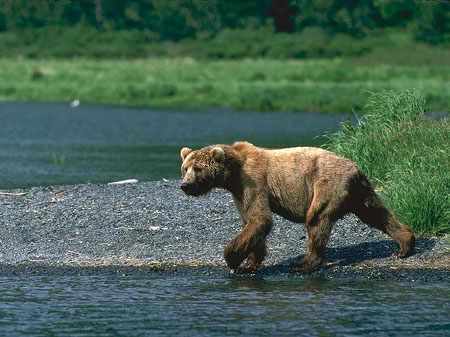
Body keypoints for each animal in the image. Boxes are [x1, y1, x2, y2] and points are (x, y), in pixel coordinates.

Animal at [179, 140, 414, 272]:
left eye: (198, 168)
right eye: (185, 168)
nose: (185, 185)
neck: (233, 173)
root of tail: (355, 168)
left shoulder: (253, 182)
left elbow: (260, 219)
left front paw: (232, 259)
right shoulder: (239, 192)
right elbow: (252, 223)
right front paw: (249, 264)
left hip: (327, 184)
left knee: (316, 219)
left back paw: (304, 264)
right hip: (360, 191)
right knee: (376, 213)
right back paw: (405, 245)